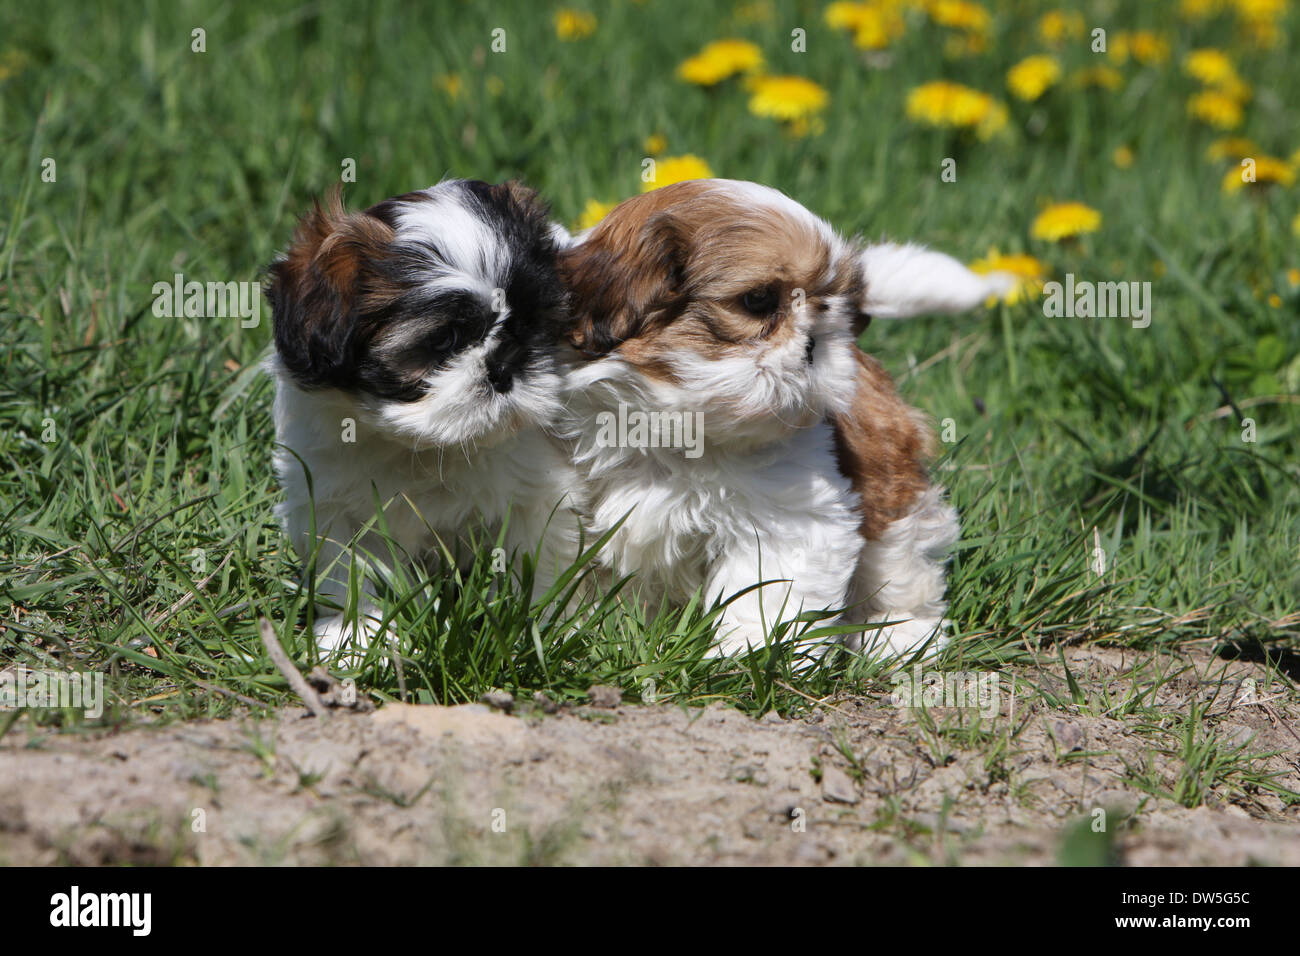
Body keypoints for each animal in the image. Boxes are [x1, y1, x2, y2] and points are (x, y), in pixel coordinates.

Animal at [266, 179, 582, 655]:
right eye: (445, 339)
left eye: (529, 324)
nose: (504, 365)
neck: (427, 447)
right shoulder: (329, 499)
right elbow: (350, 569)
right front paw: (354, 638)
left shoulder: (540, 491)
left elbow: (536, 556)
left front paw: (537, 626)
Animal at [553, 179, 1008, 658]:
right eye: (758, 300)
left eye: (828, 307)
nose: (815, 343)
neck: (676, 430)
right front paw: (582, 638)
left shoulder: (789, 517)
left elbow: (768, 591)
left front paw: (750, 656)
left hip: (890, 483)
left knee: (902, 560)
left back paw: (900, 636)